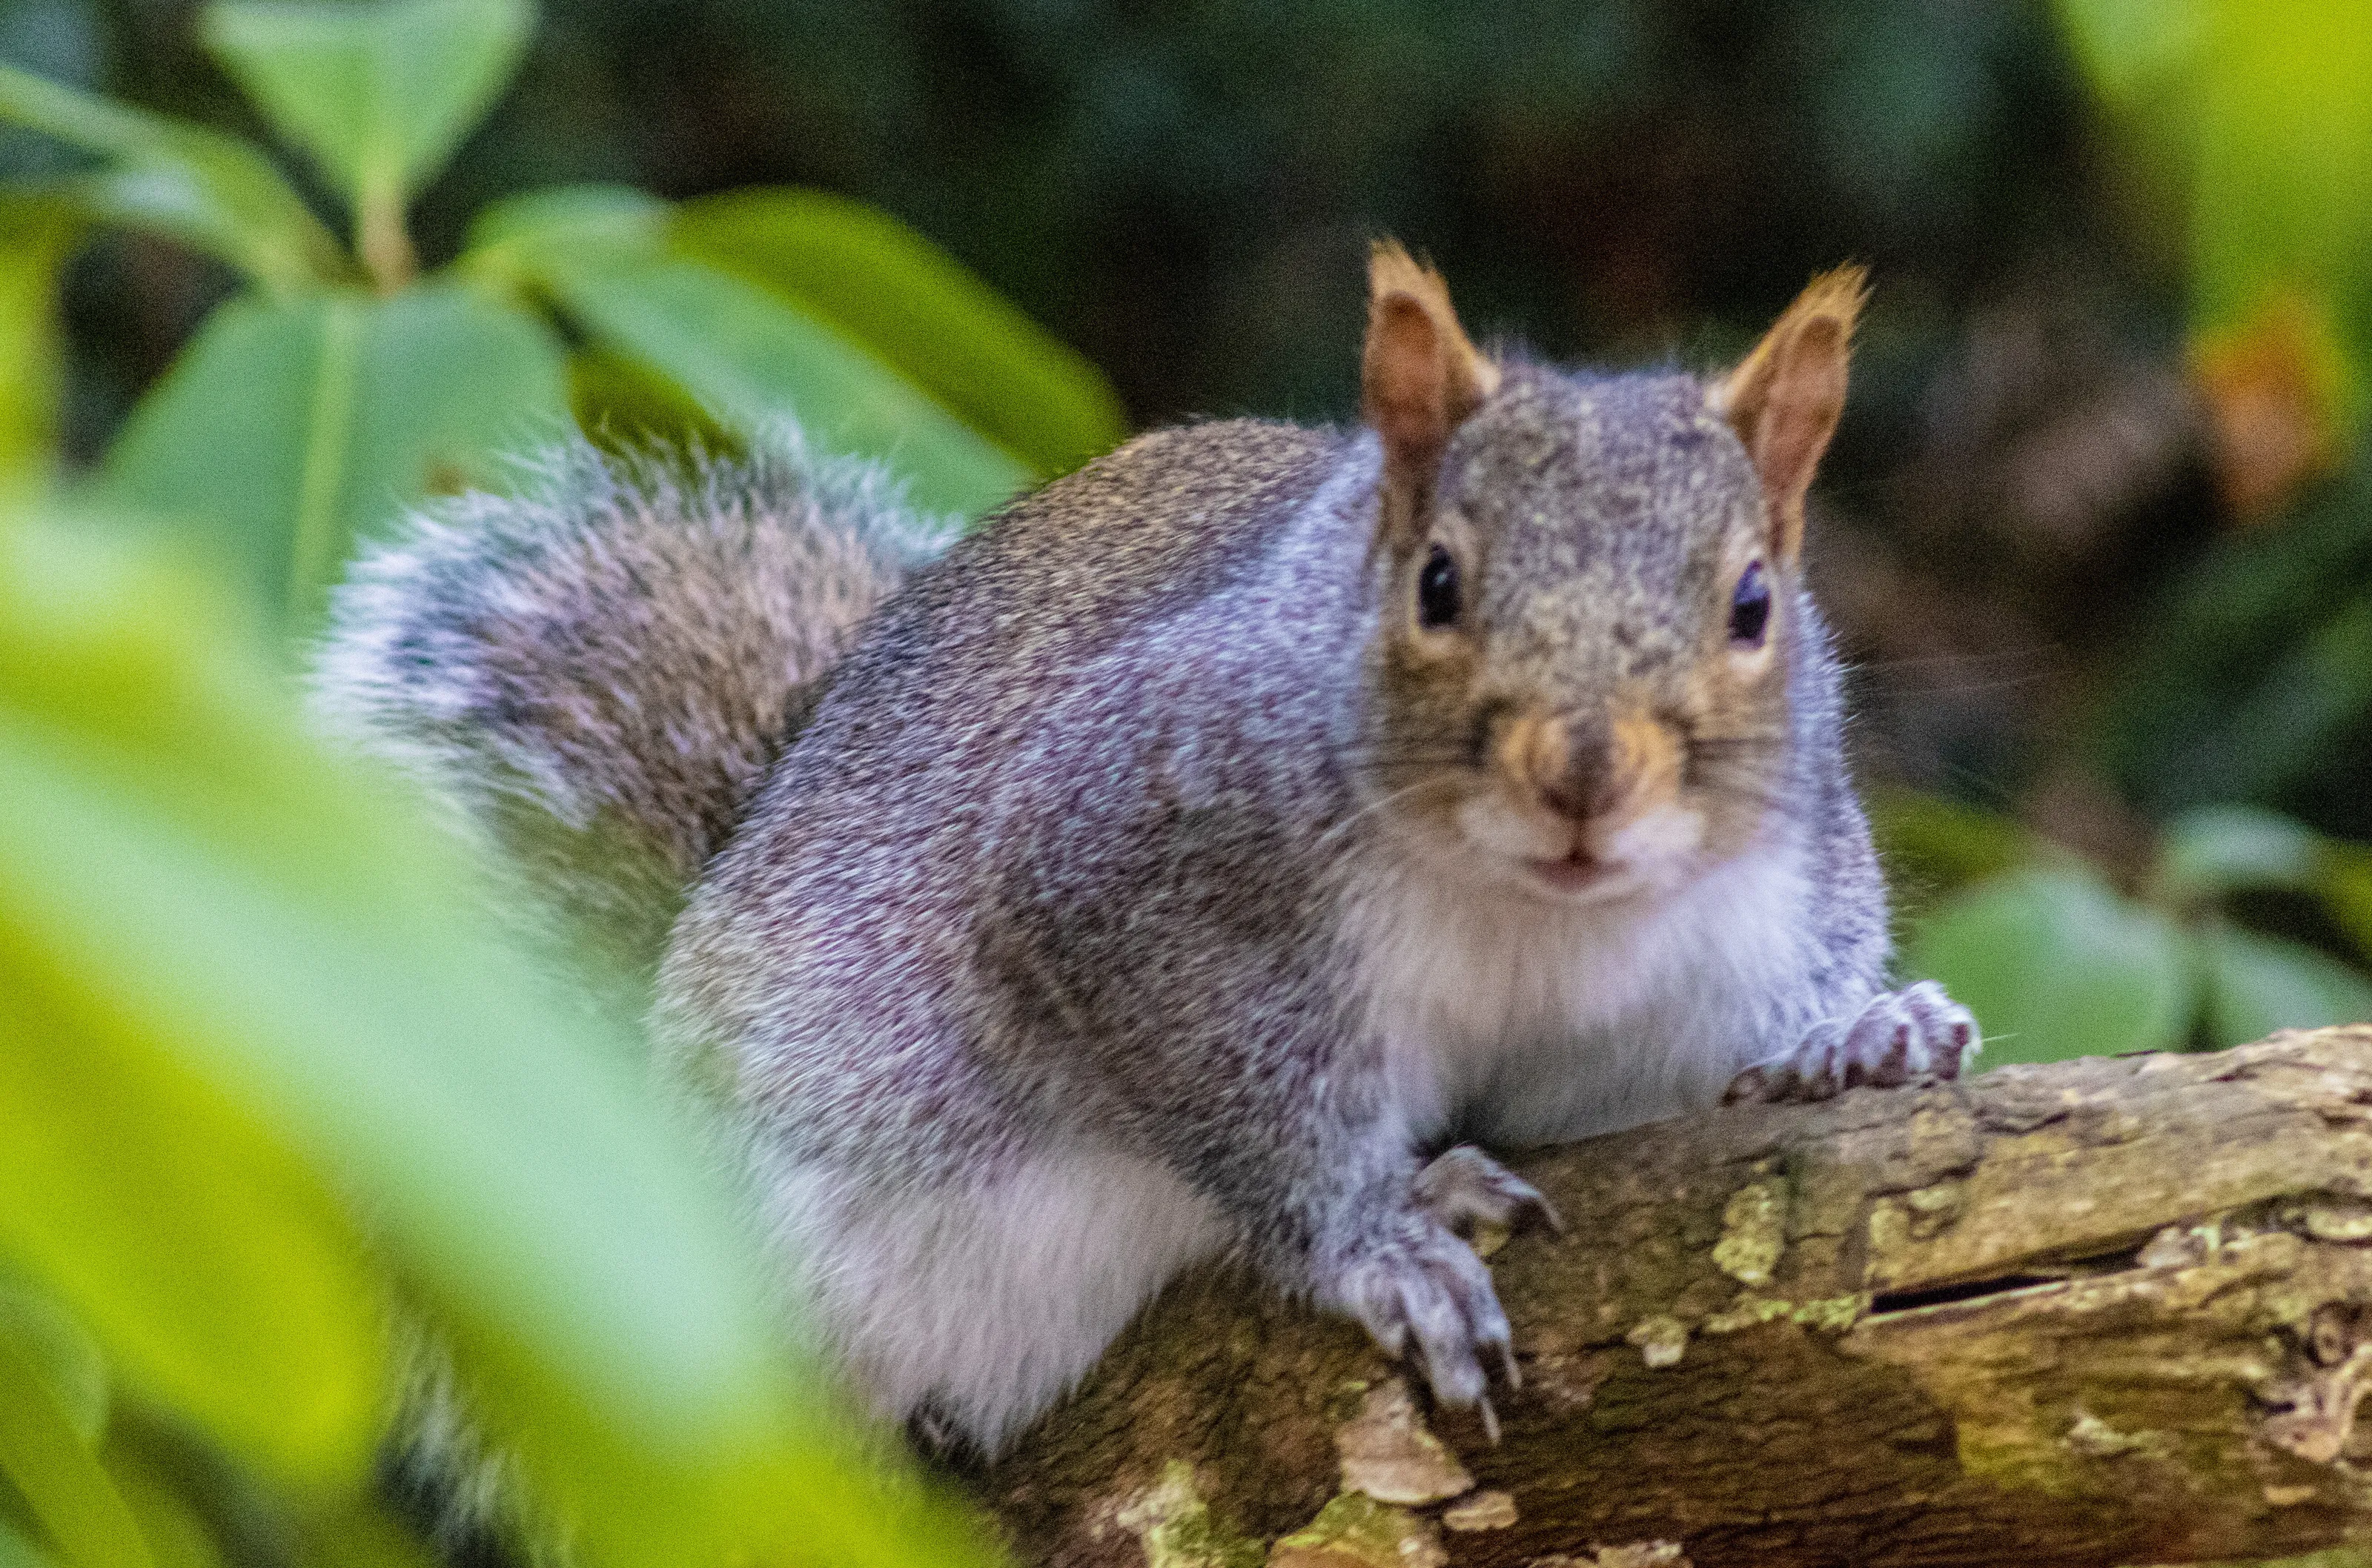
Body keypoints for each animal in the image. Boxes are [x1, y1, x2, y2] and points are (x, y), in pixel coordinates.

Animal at [318, 243, 1977, 1458]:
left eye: (1755, 603)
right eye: (1437, 583)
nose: (1583, 777)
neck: (1540, 916)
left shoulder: (1711, 951)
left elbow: (1690, 1075)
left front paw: (1860, 1032)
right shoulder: (1114, 861)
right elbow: (1235, 1097)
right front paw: (1380, 1235)